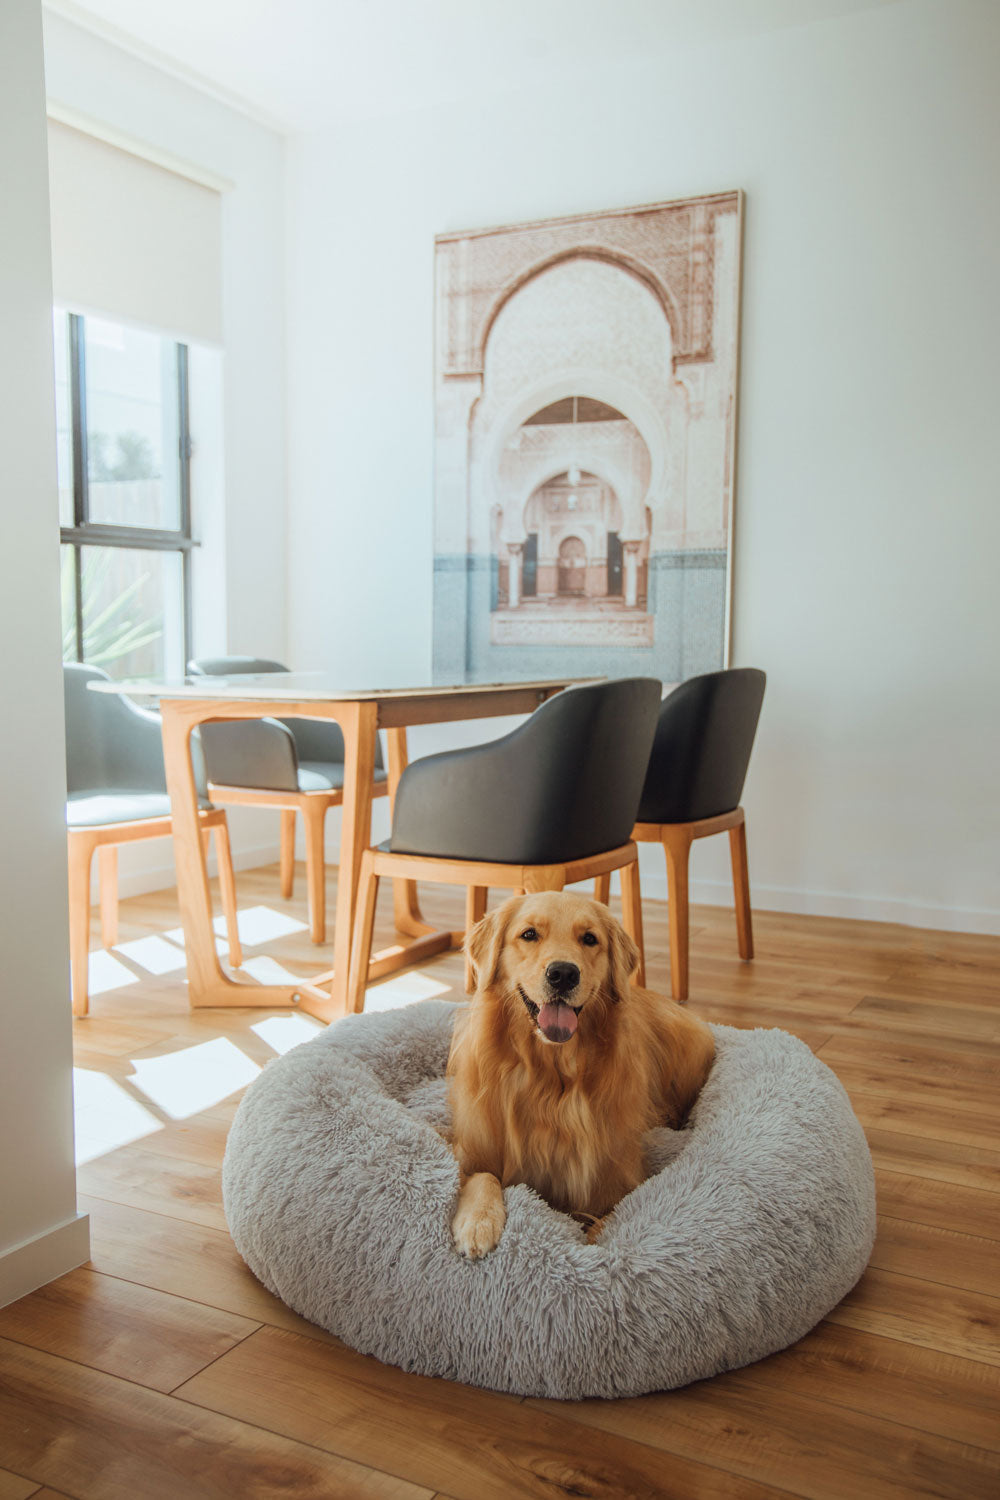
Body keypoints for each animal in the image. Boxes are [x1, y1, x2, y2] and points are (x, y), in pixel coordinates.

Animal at [449, 882, 716, 1260]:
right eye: (529, 934)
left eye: (589, 939)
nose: (563, 973)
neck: (550, 1077)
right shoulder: (472, 1145)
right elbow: (482, 1175)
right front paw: (477, 1222)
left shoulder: (615, 1180)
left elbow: (606, 1222)